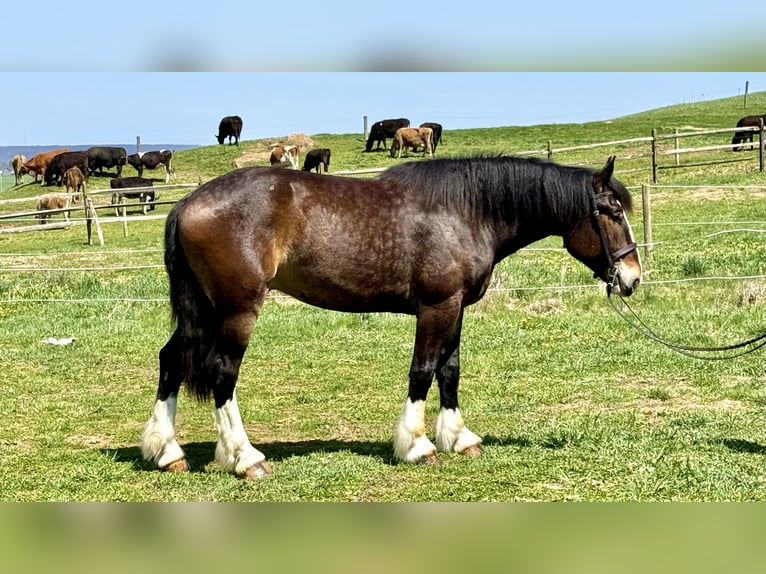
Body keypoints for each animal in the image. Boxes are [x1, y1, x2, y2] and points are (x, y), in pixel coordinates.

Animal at [140, 155, 642, 479]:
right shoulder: (437, 307)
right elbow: (422, 371)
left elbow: (450, 371)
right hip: (237, 309)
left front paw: (459, 438)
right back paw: (245, 458)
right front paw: (417, 446)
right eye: (612, 212)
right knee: (222, 373)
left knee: (170, 361)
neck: (463, 211)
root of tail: (187, 204)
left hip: (205, 309)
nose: (632, 278)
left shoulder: (456, 307)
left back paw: (166, 452)